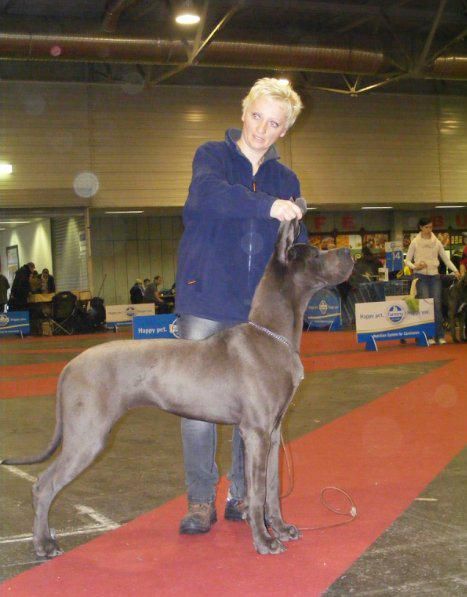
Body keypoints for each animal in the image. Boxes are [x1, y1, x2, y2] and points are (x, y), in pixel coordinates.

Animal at [1, 198, 353, 557]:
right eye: (315, 254)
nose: (348, 252)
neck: (272, 334)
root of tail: (70, 365)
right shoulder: (256, 432)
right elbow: (257, 494)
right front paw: (264, 540)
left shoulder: (274, 430)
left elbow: (272, 486)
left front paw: (280, 528)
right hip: (87, 435)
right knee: (43, 485)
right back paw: (44, 544)